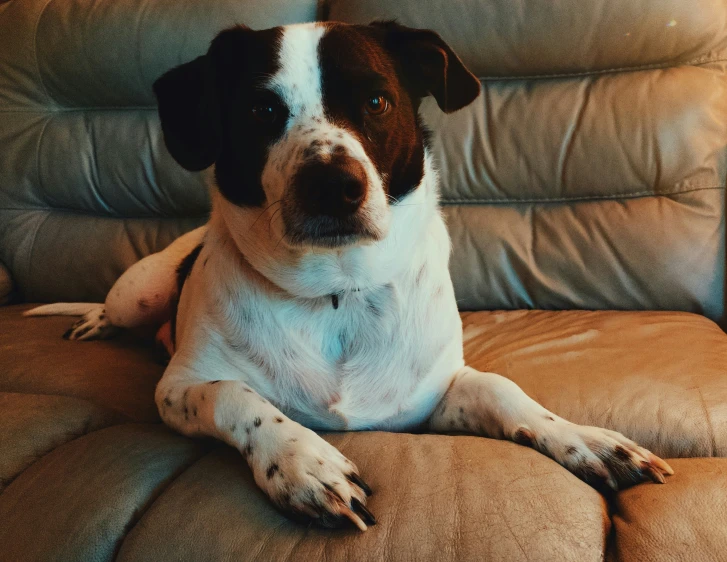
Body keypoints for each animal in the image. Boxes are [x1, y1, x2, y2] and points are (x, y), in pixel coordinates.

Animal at [25, 20, 672, 528]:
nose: (332, 185)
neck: (337, 291)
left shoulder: (430, 399)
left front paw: (586, 440)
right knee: (119, 310)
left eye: (378, 102)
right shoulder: (178, 389)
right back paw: (93, 322)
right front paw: (303, 462)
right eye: (262, 111)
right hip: (139, 290)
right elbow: (237, 396)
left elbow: (504, 391)